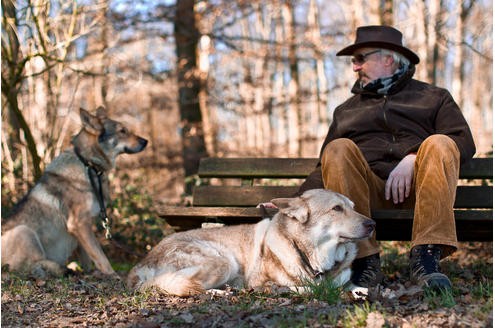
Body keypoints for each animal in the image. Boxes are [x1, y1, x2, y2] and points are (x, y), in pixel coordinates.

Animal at [128, 188, 376, 296]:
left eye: (353, 207)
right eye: (337, 209)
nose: (372, 224)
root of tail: (138, 266)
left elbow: (353, 285)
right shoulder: (261, 281)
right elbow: (299, 287)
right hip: (222, 262)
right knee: (189, 286)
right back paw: (221, 292)